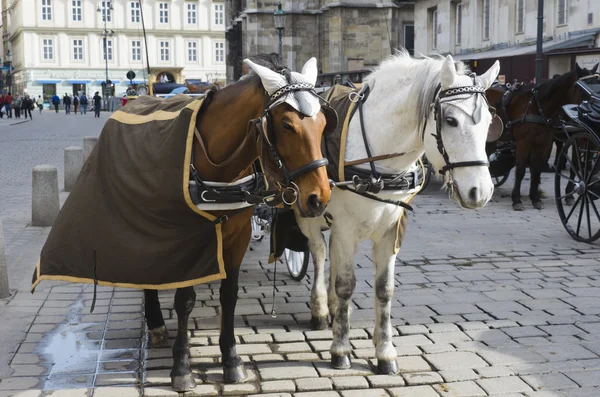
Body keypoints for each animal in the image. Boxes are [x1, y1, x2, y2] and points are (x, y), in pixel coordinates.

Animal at [143, 56, 336, 390]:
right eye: (286, 125)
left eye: (324, 122)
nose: (319, 197)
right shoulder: (185, 236)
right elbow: (185, 299)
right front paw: (181, 365)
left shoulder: (237, 234)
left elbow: (229, 295)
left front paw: (231, 358)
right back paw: (155, 325)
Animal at [296, 51, 502, 372]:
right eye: (451, 120)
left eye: (490, 122)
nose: (479, 191)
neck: (378, 164)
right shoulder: (345, 228)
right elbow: (346, 285)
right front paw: (340, 349)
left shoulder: (390, 231)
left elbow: (384, 289)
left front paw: (385, 351)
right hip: (309, 216)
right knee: (318, 253)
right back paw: (319, 309)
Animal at [488, 62, 596, 210]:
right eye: (584, 89)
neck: (537, 106)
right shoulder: (524, 142)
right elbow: (521, 170)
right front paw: (517, 200)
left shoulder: (544, 142)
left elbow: (536, 169)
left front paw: (536, 198)